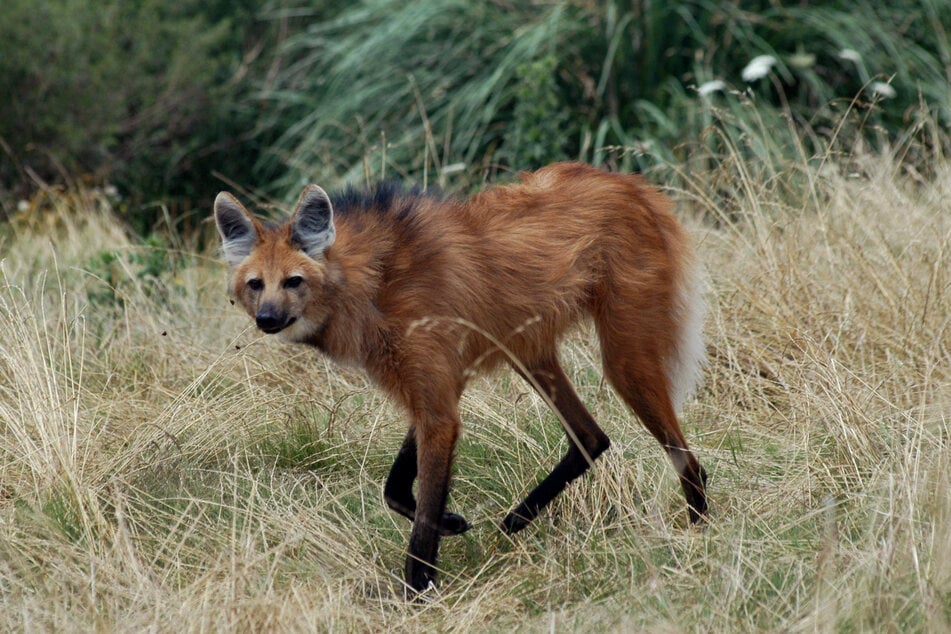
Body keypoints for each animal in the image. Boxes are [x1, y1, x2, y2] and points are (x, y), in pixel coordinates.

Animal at [216, 162, 708, 592]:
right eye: (256, 284)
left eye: (293, 281)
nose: (266, 319)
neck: (373, 285)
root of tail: (632, 184)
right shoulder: (435, 389)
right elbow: (395, 488)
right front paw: (450, 523)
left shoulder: (437, 404)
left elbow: (420, 520)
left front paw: (418, 593)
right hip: (528, 352)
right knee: (591, 437)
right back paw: (516, 519)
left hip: (625, 360)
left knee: (688, 461)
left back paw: (699, 534)